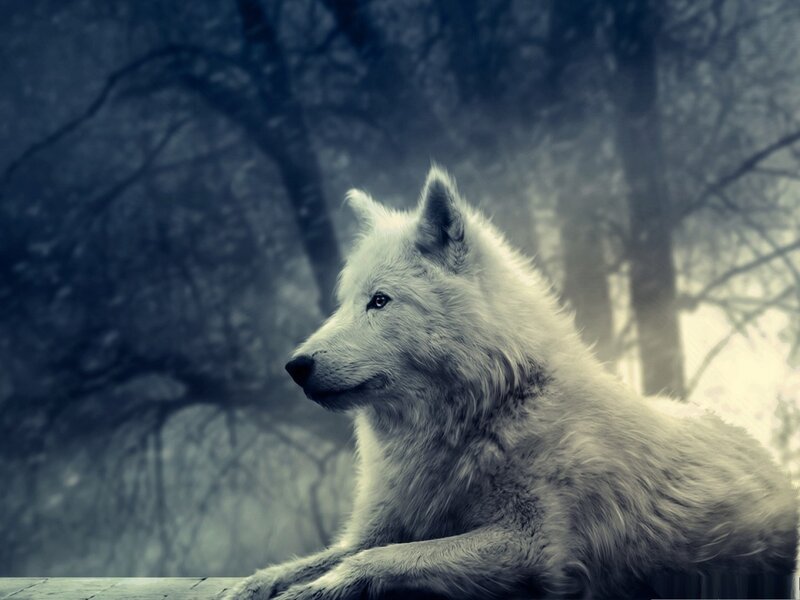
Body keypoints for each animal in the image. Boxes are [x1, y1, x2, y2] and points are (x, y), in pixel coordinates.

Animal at [227, 168, 798, 599]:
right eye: (345, 302)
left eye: (380, 301)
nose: (295, 365)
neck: (487, 412)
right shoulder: (375, 527)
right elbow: (312, 560)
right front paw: (255, 585)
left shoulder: (530, 546)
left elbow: (381, 559)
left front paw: (317, 589)